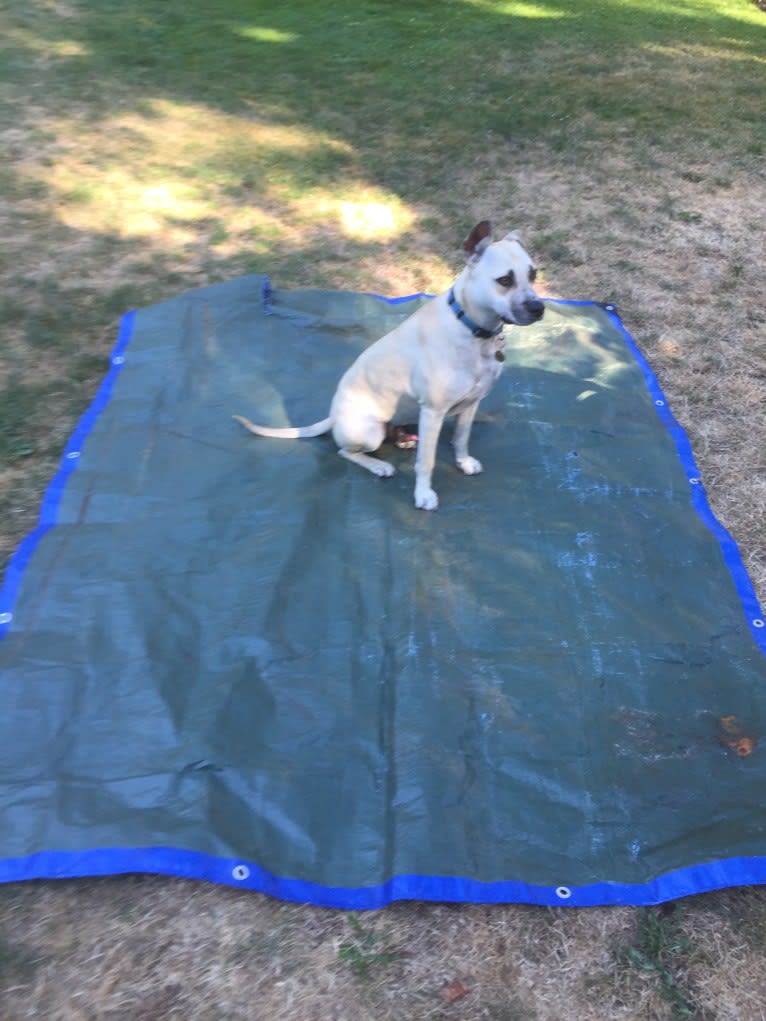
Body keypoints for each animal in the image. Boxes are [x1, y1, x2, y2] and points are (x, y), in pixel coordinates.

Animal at [235, 222, 547, 510]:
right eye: (504, 280)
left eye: (533, 274)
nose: (539, 308)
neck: (473, 329)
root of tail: (333, 417)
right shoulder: (433, 412)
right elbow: (426, 461)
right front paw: (423, 495)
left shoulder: (471, 404)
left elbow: (461, 437)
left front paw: (463, 462)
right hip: (370, 433)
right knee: (345, 452)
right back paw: (379, 466)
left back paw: (403, 439)